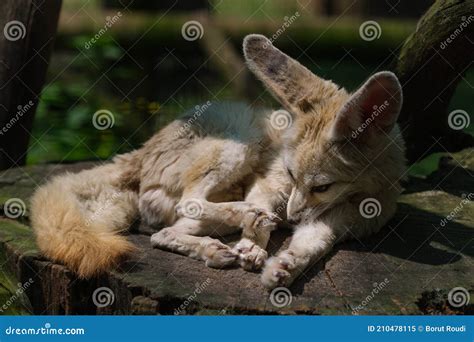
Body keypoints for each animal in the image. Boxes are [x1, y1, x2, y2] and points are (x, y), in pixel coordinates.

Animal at [31, 35, 406, 288]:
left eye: (323, 187)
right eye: (290, 173)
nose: (290, 219)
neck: (357, 194)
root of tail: (139, 152)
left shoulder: (335, 223)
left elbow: (311, 246)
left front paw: (283, 266)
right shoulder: (268, 182)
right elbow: (261, 218)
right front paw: (253, 245)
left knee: (161, 233)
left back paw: (215, 250)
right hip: (240, 136)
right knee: (190, 203)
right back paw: (245, 219)